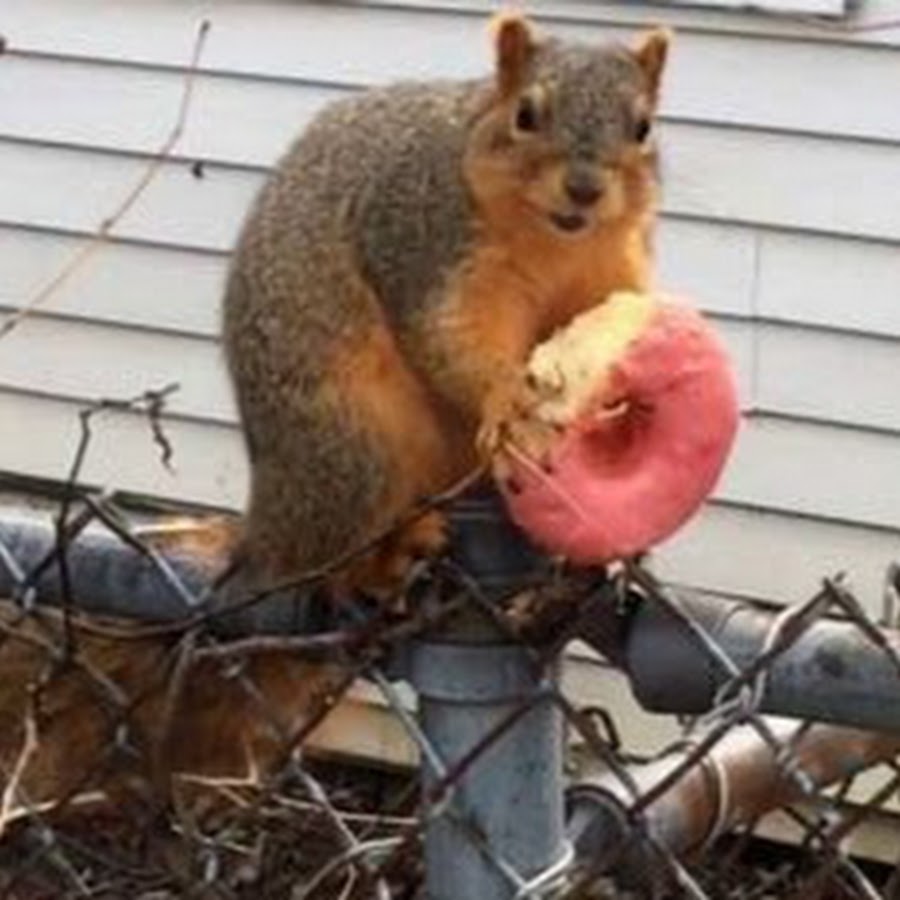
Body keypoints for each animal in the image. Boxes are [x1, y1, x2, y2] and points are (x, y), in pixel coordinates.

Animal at [222, 13, 670, 598]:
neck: (557, 242)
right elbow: (450, 335)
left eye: (643, 128)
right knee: (328, 563)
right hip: (353, 443)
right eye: (525, 114)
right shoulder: (429, 244)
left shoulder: (610, 269)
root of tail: (266, 521)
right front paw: (510, 400)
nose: (584, 188)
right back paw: (392, 555)